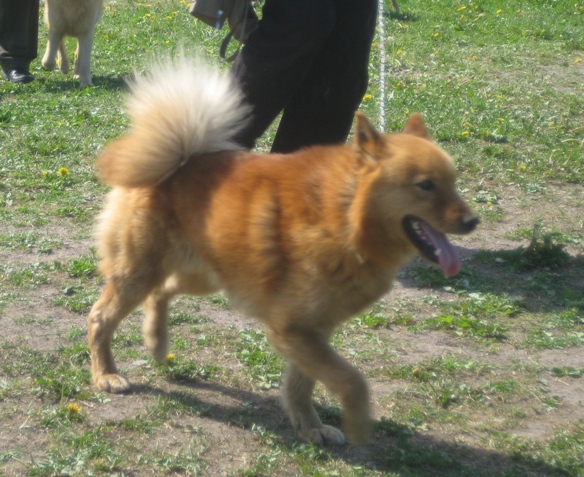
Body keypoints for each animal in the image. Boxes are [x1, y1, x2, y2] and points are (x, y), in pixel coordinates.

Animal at [87, 58, 478, 446]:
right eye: (425, 186)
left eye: (453, 182)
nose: (473, 220)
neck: (342, 215)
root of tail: (179, 159)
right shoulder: (293, 329)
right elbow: (352, 380)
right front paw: (357, 423)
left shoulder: (310, 330)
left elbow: (302, 383)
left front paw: (310, 426)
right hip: (139, 273)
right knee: (101, 317)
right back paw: (106, 374)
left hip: (206, 275)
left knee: (161, 292)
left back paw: (156, 342)